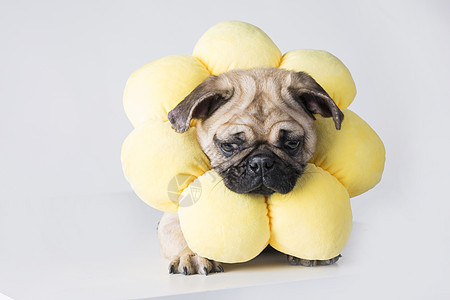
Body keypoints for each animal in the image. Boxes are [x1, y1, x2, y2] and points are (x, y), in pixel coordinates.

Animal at [158, 67, 344, 274]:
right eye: (228, 146)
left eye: (292, 144)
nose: (261, 162)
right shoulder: (170, 221)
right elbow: (182, 233)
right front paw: (193, 255)